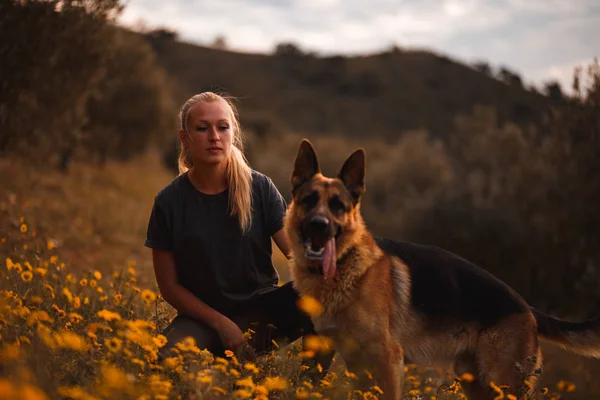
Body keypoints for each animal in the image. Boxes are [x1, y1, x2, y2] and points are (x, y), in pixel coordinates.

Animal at [284, 139, 600, 398]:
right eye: (309, 200)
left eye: (338, 205)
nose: (319, 226)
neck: (346, 269)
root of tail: (527, 307)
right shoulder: (343, 356)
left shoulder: (387, 358)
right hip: (475, 383)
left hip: (501, 384)